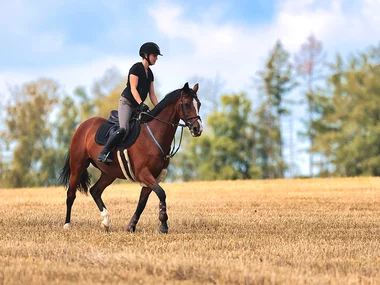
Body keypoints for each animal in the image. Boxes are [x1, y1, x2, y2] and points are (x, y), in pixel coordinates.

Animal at [58, 82, 203, 233]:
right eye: (186, 104)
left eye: (198, 104)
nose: (198, 129)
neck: (153, 135)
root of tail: (84, 125)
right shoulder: (143, 173)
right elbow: (161, 193)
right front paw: (163, 225)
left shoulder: (153, 176)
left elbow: (142, 202)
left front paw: (131, 226)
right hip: (78, 166)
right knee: (71, 194)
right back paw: (67, 224)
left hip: (109, 173)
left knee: (95, 191)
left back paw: (106, 221)